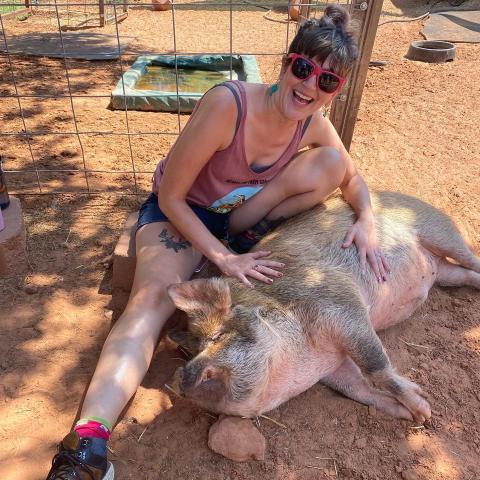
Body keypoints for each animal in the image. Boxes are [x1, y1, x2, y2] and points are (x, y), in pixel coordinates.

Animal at [166, 191, 480, 424]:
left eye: (218, 335)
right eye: (192, 349)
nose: (181, 375)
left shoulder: (339, 304)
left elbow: (375, 367)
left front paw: (424, 410)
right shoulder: (333, 367)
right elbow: (358, 389)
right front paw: (412, 415)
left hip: (440, 231)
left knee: (469, 257)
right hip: (444, 273)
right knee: (463, 275)